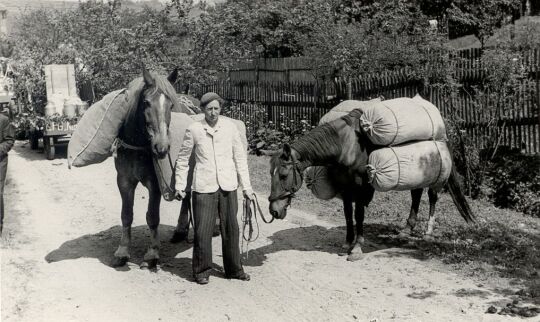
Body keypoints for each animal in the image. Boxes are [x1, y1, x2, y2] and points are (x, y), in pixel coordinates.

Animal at [110, 69, 193, 268]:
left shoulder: (155, 184)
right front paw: (122, 250)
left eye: (170, 104)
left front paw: (153, 252)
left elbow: (153, 217)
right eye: (146, 102)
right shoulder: (124, 181)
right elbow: (126, 214)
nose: (161, 147)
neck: (138, 147)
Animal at [268, 109, 474, 260]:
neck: (344, 146)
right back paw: (406, 230)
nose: (274, 211)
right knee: (416, 195)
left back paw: (428, 232)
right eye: (271, 173)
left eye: (284, 175)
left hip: (436, 178)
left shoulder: (361, 187)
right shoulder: (345, 187)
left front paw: (357, 247)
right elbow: (348, 215)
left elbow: (359, 215)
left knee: (432, 197)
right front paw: (347, 243)